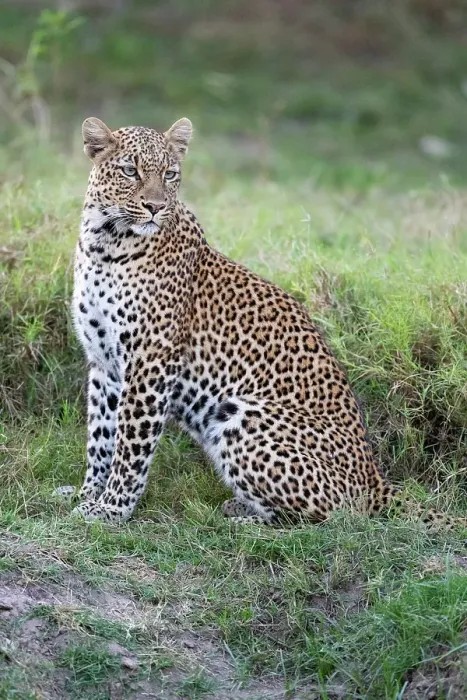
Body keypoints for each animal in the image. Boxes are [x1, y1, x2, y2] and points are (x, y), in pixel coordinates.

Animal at [55, 115, 466, 531]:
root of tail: (375, 480)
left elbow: (131, 444)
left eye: (170, 174)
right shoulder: (104, 363)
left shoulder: (151, 362)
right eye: (130, 171)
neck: (105, 243)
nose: (155, 207)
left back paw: (238, 521)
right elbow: (100, 435)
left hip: (242, 413)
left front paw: (111, 509)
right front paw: (87, 494)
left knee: (331, 517)